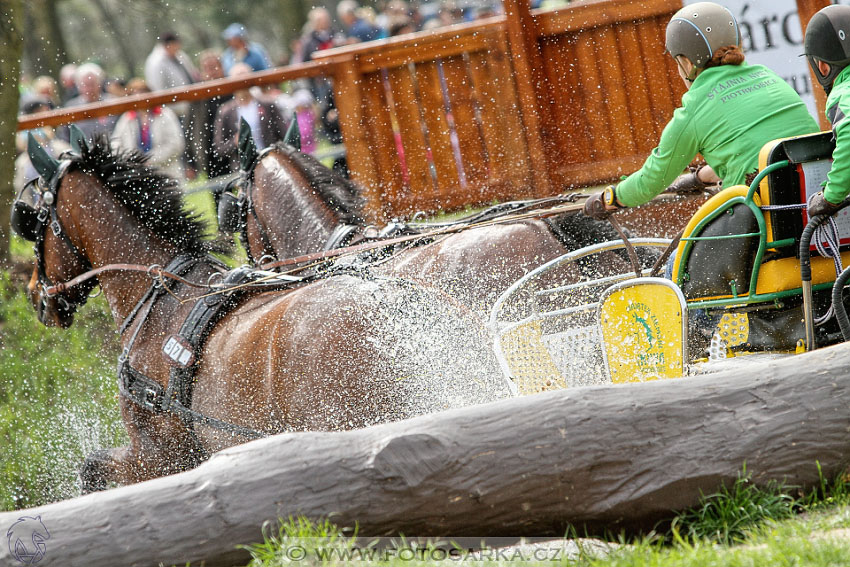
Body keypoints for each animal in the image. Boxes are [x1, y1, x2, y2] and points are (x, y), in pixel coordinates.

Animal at [21, 136, 510, 492]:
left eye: (33, 220)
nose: (36, 297)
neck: (161, 299)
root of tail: (398, 304)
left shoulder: (157, 458)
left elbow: (91, 470)